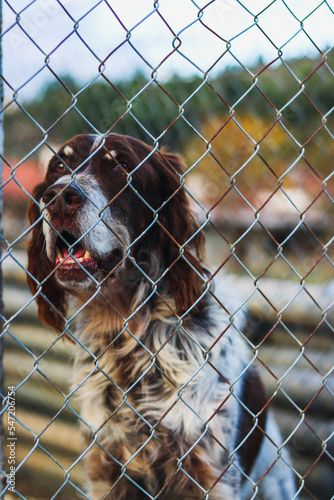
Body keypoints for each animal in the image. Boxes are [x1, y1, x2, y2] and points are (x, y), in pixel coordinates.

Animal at [27, 133, 296, 500]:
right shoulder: (107, 471)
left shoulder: (210, 473)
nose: (56, 199)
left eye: (121, 165)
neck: (130, 334)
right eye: (57, 166)